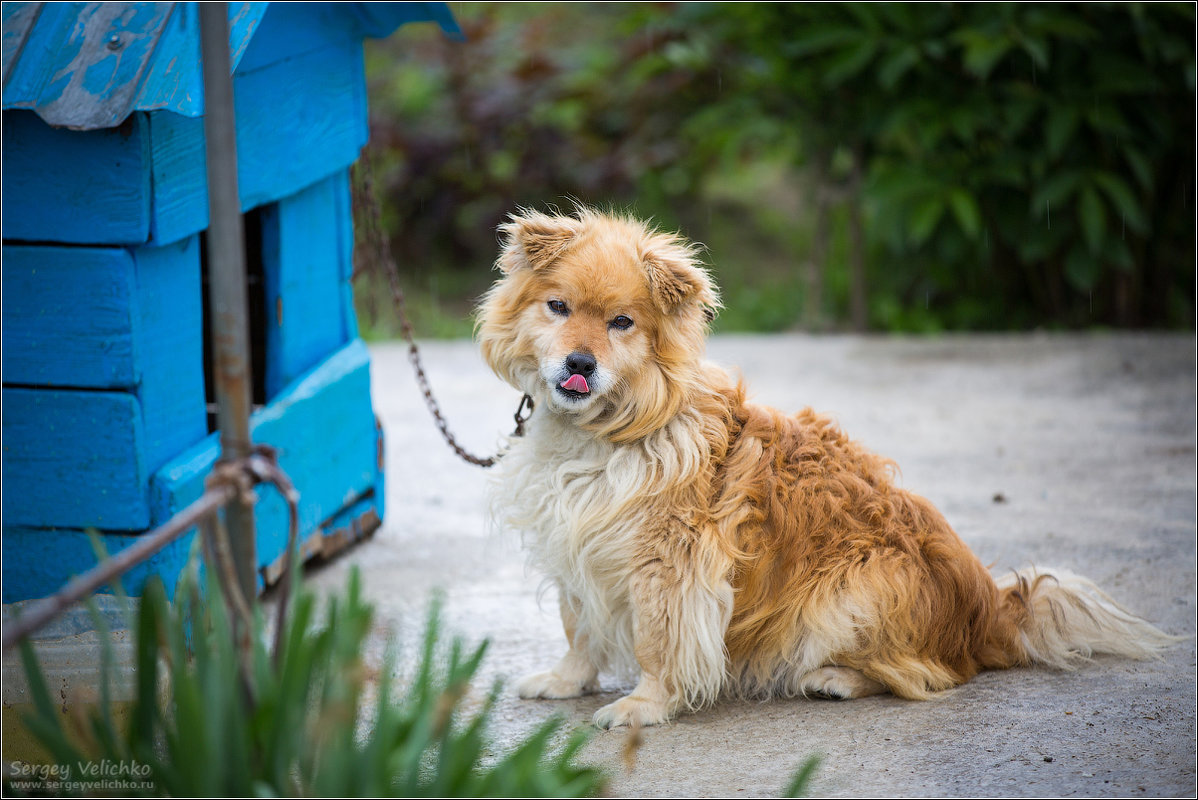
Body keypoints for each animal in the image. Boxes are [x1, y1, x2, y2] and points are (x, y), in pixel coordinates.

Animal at [472, 208, 1174, 732]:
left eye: (622, 323)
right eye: (558, 308)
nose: (580, 363)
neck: (605, 431)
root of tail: (992, 612)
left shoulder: (666, 565)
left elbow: (656, 643)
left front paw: (644, 705)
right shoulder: (578, 544)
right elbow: (578, 629)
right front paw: (567, 682)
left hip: (853, 587)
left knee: (930, 674)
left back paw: (833, 677)